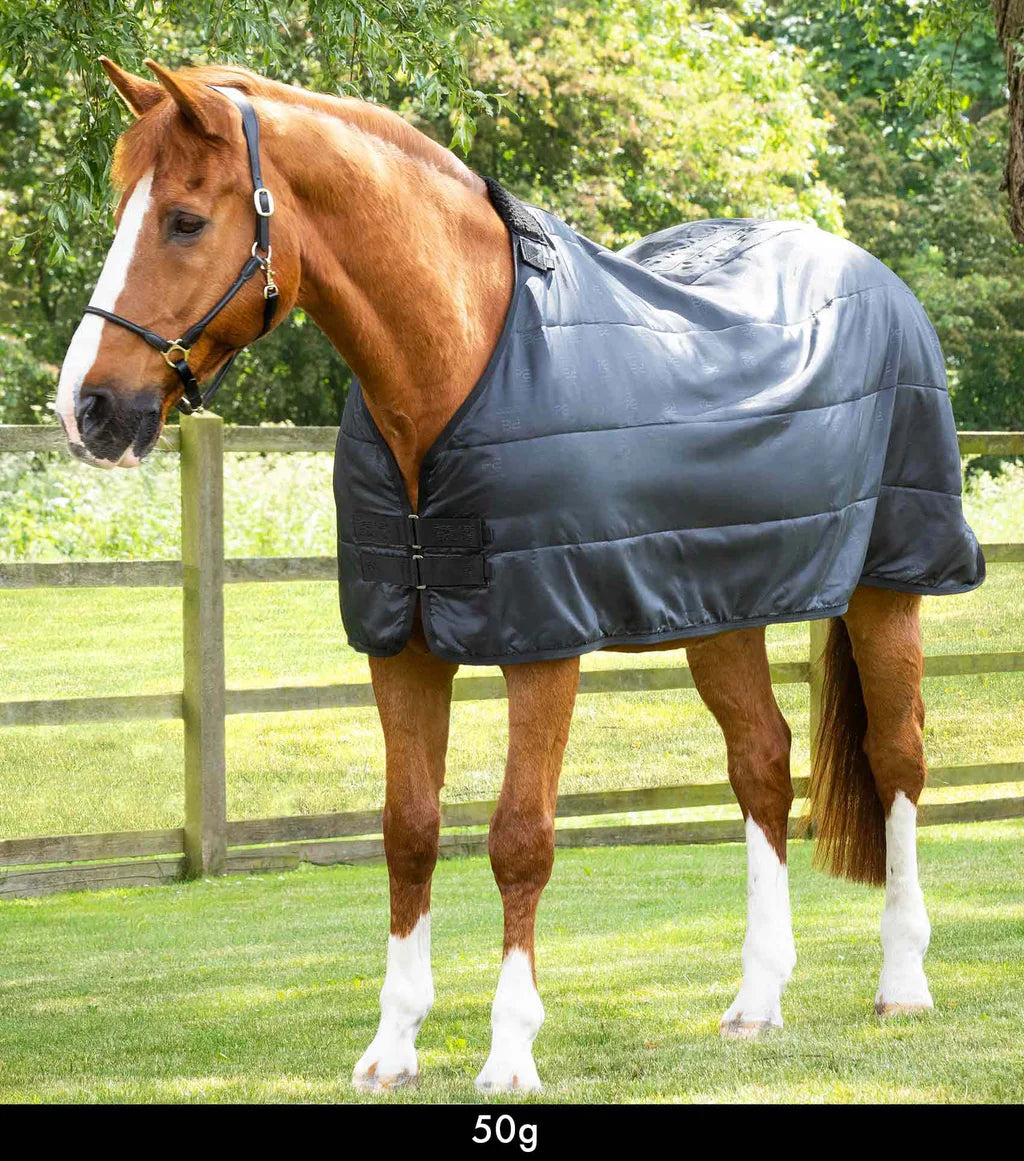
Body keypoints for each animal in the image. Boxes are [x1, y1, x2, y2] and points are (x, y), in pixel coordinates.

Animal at [55, 59, 982, 1094]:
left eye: (183, 219)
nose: (86, 408)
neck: (460, 365)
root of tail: (877, 279)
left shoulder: (544, 643)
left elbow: (519, 838)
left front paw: (509, 1051)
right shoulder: (401, 646)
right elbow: (409, 830)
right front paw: (392, 1046)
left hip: (888, 586)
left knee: (898, 758)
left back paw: (902, 982)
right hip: (721, 610)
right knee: (763, 763)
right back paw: (756, 1000)